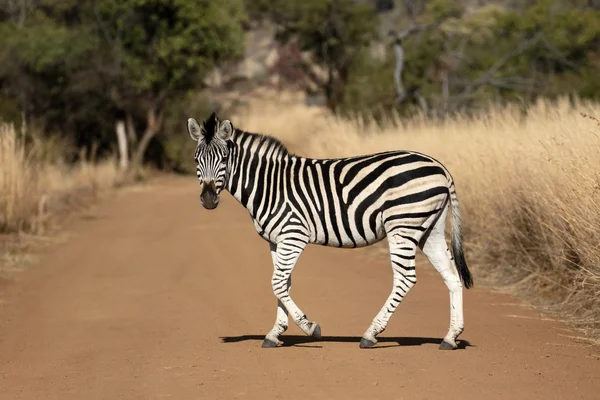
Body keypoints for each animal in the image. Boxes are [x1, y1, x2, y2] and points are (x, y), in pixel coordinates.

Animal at [188, 111, 474, 348]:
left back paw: (371, 334)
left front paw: (309, 327)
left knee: (406, 278)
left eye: (224, 159)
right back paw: (450, 337)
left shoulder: (294, 235)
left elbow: (277, 283)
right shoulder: (276, 240)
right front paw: (275, 333)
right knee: (452, 276)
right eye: (196, 159)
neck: (268, 184)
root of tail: (439, 167)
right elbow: (283, 282)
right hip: (429, 228)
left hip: (402, 225)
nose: (208, 199)